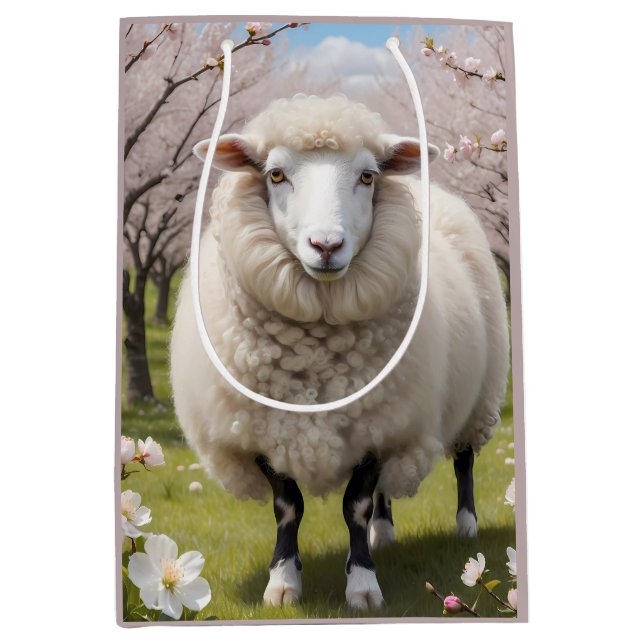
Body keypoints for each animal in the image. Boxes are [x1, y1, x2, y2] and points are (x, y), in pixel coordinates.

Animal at [170, 94, 510, 610]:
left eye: (367, 176)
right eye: (275, 174)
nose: (326, 246)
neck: (316, 348)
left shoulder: (378, 423)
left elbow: (356, 504)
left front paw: (363, 585)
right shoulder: (266, 427)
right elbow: (288, 507)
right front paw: (283, 581)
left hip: (476, 394)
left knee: (464, 462)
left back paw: (465, 528)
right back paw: (383, 535)